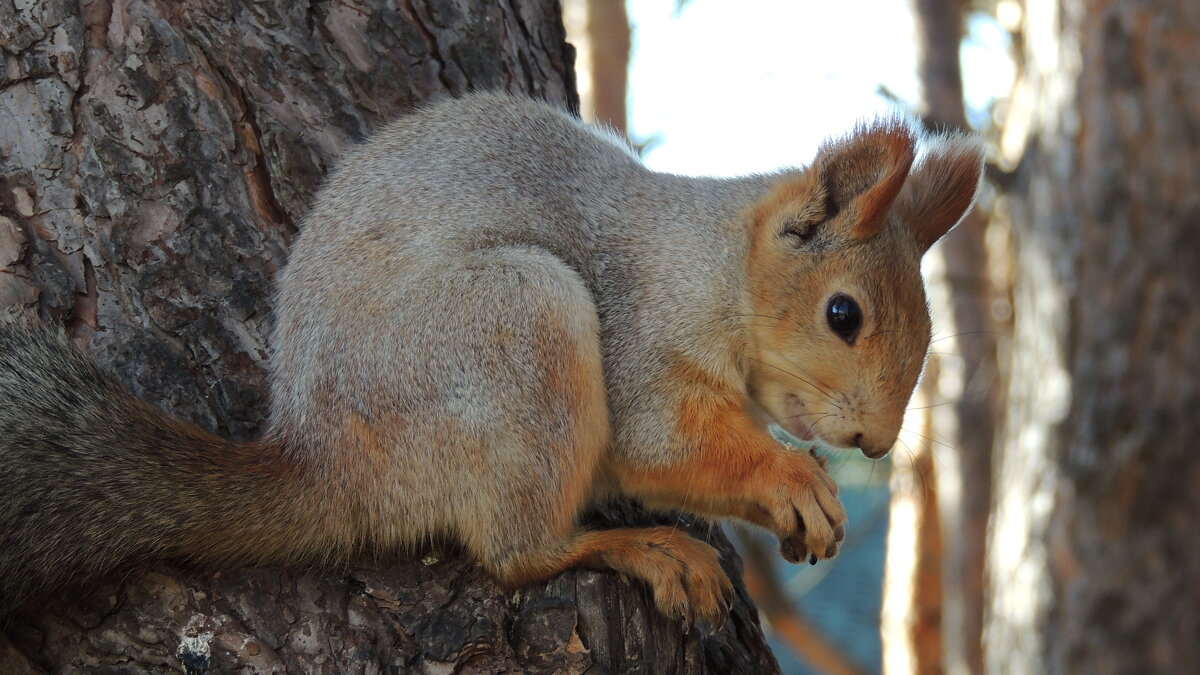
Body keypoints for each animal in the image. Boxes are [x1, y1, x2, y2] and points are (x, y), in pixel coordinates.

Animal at [0, 90, 984, 624]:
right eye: (843, 313)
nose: (876, 442)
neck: (708, 265)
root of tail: (324, 460)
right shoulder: (635, 327)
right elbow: (661, 441)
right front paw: (793, 478)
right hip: (519, 328)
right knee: (519, 552)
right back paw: (640, 547)